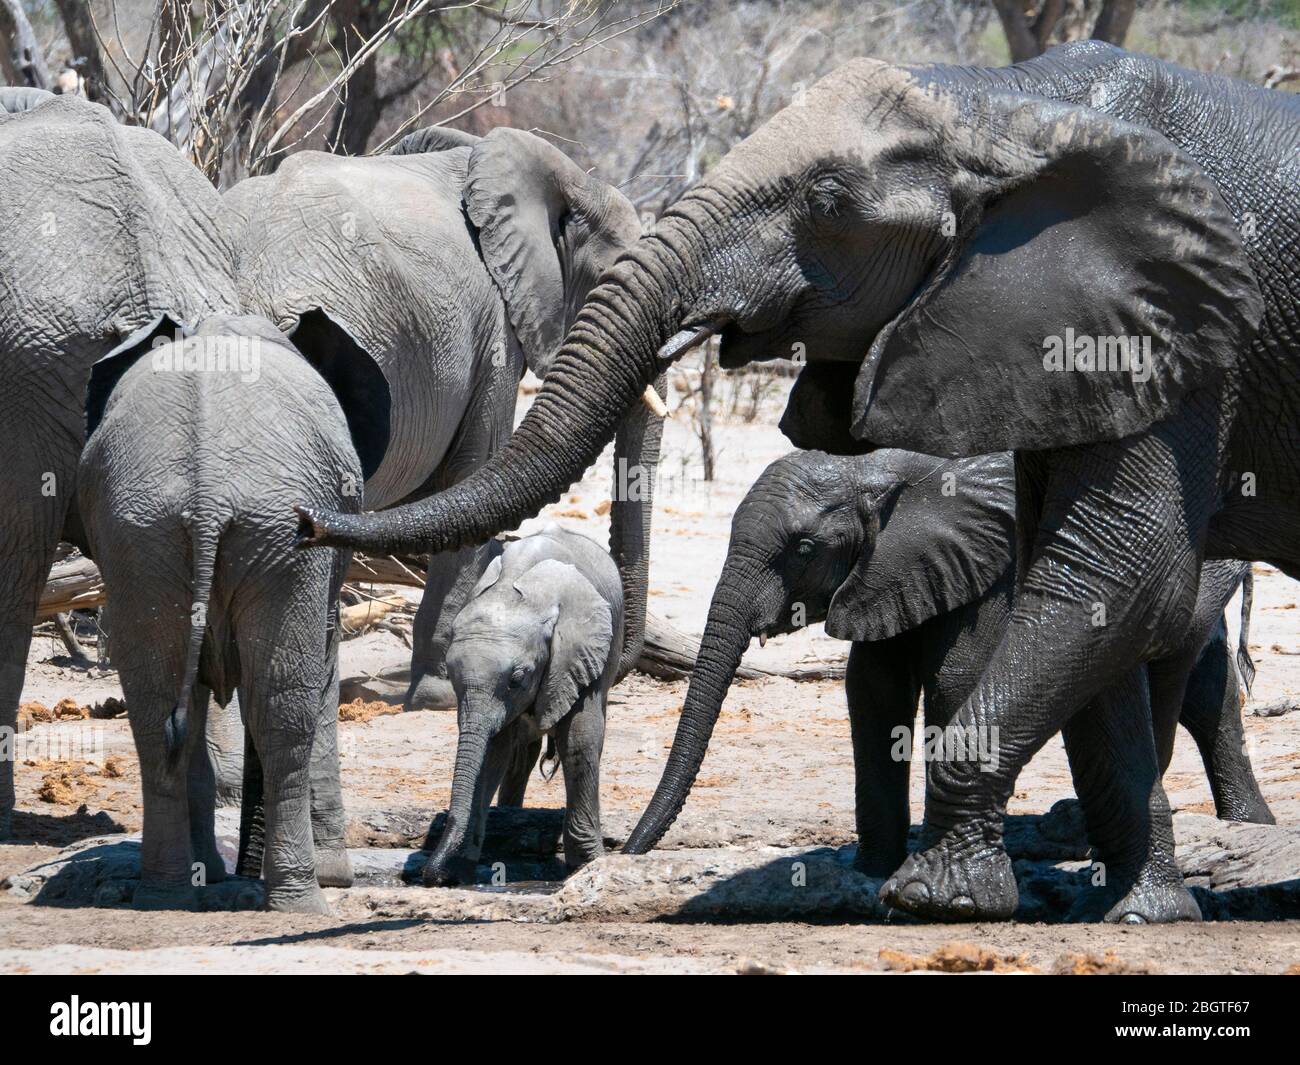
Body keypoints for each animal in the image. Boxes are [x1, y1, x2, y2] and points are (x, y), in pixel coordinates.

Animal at [79, 315, 366, 915]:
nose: (242, 867)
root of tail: (207, 493)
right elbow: (321, 672)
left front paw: (207, 876)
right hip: (274, 538)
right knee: (284, 708)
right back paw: (301, 902)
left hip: (143, 537)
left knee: (157, 707)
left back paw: (163, 896)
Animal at [423, 527, 621, 889]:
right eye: (453, 680)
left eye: (517, 679)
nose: (434, 876)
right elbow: (492, 751)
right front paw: (462, 866)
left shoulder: (582, 650)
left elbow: (580, 739)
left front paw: (588, 865)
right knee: (520, 756)